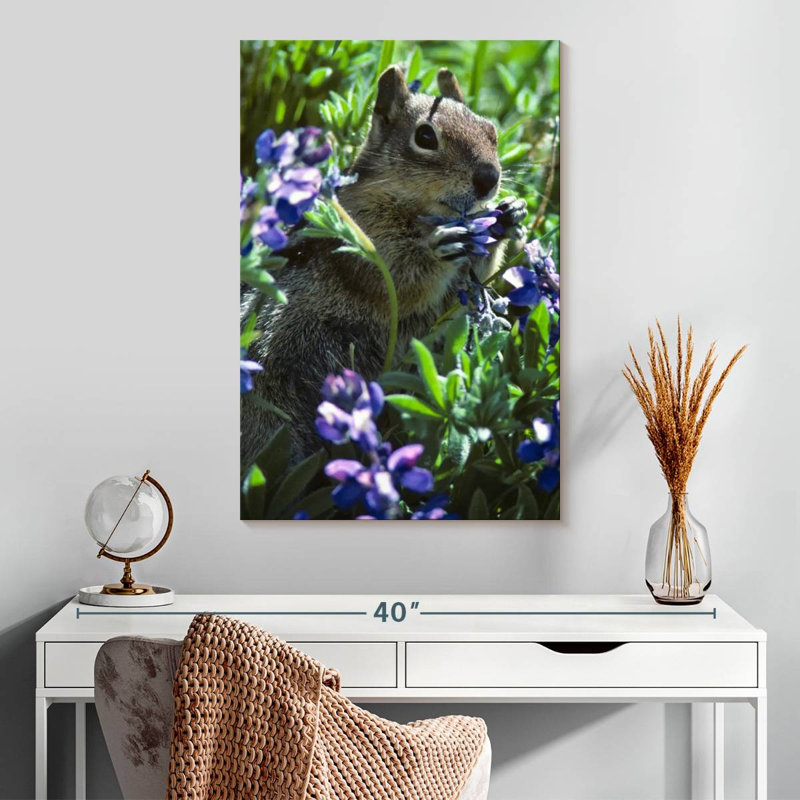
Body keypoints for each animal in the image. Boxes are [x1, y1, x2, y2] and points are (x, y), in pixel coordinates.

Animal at [241, 65, 526, 466]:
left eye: (492, 131)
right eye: (425, 136)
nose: (490, 179)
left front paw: (511, 214)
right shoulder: (362, 236)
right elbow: (394, 276)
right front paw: (438, 248)